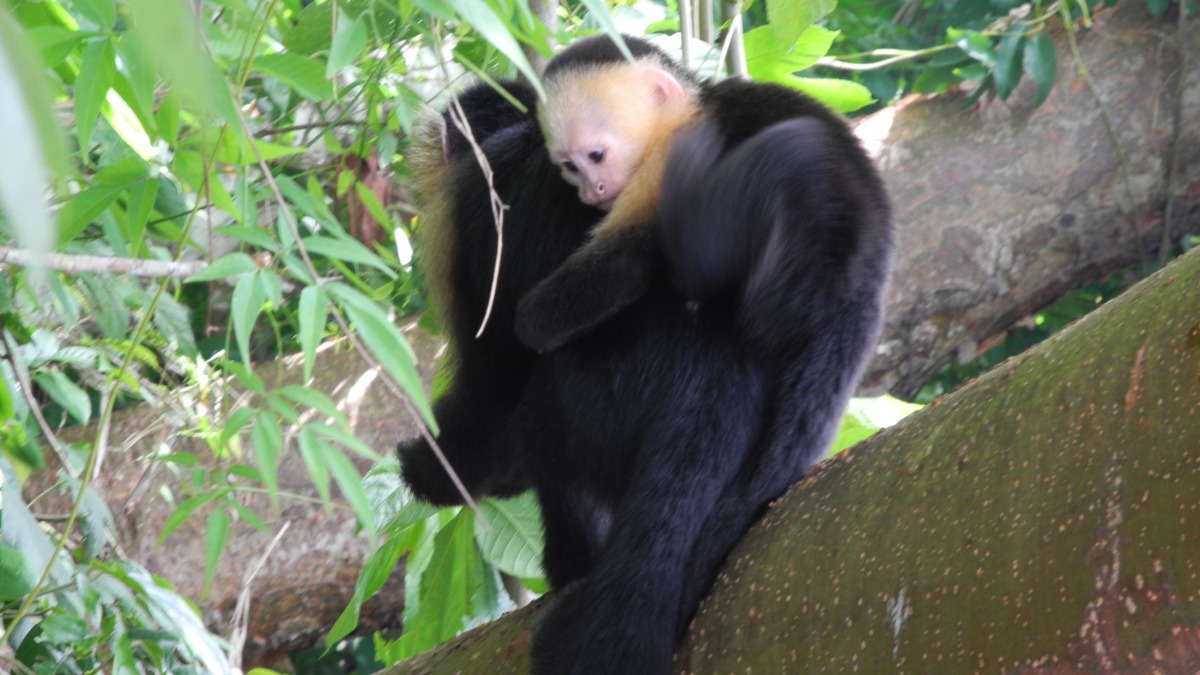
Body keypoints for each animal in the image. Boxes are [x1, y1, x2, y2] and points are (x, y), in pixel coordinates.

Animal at [400, 32, 892, 672]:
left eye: (595, 156)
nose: (590, 188)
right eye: (570, 164)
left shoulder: (473, 210)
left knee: (541, 418)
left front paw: (432, 465)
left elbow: (493, 396)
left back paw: (573, 563)